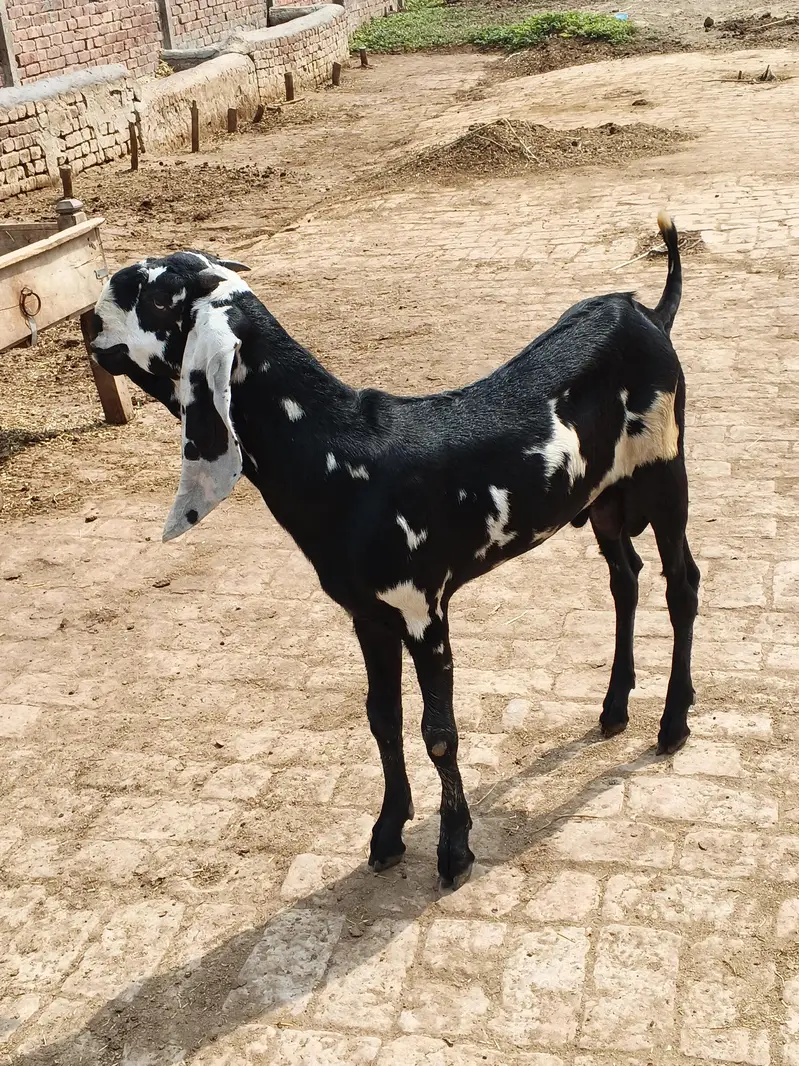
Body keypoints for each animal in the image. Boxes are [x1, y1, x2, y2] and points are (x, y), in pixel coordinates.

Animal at [88, 213, 699, 890]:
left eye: (156, 298)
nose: (90, 318)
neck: (340, 452)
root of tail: (647, 313)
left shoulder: (423, 609)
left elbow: (439, 732)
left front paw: (454, 849)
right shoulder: (368, 615)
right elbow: (382, 717)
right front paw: (387, 830)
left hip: (666, 472)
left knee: (681, 585)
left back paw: (673, 722)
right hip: (607, 499)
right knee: (626, 578)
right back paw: (615, 707)